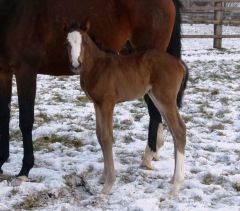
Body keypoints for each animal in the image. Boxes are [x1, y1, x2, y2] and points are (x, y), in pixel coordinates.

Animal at [78, 28, 187, 196]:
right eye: (66, 42)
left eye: (83, 42)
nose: (76, 62)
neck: (98, 66)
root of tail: (178, 63)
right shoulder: (97, 105)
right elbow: (99, 135)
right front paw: (103, 178)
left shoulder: (107, 104)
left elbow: (106, 138)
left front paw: (107, 186)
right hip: (157, 98)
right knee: (175, 130)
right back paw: (173, 179)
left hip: (165, 98)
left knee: (179, 130)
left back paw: (175, 186)